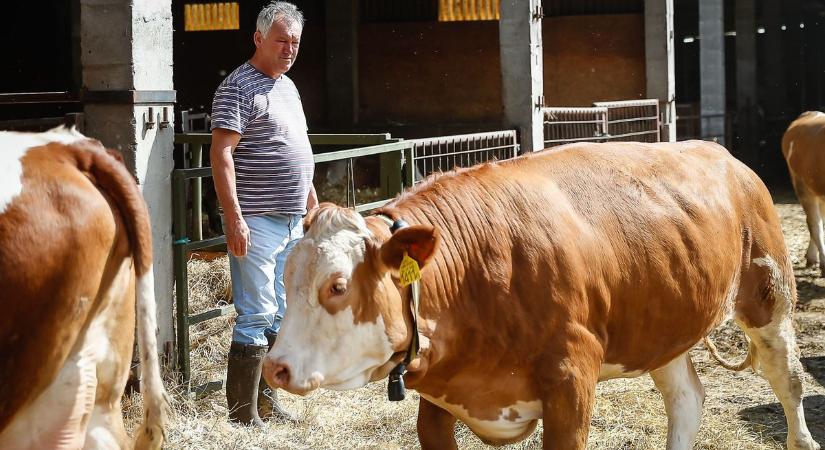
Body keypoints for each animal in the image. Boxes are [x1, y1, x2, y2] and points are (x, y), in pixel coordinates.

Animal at [262, 141, 816, 450]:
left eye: (336, 285)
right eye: (284, 279)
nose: (275, 368)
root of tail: (721, 154)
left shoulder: (572, 381)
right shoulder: (440, 402)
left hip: (769, 295)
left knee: (788, 379)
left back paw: (802, 438)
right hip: (662, 323)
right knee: (686, 401)